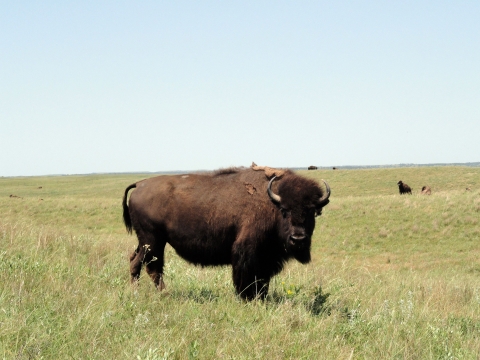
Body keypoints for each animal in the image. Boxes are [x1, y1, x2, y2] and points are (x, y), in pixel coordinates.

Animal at [122, 165, 330, 300]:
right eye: (285, 211)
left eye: (312, 211)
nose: (298, 238)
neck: (271, 203)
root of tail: (139, 184)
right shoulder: (247, 252)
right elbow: (247, 277)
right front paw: (246, 298)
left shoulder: (267, 258)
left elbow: (263, 280)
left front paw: (261, 298)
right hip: (153, 241)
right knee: (145, 266)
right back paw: (156, 294)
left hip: (148, 242)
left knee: (138, 262)